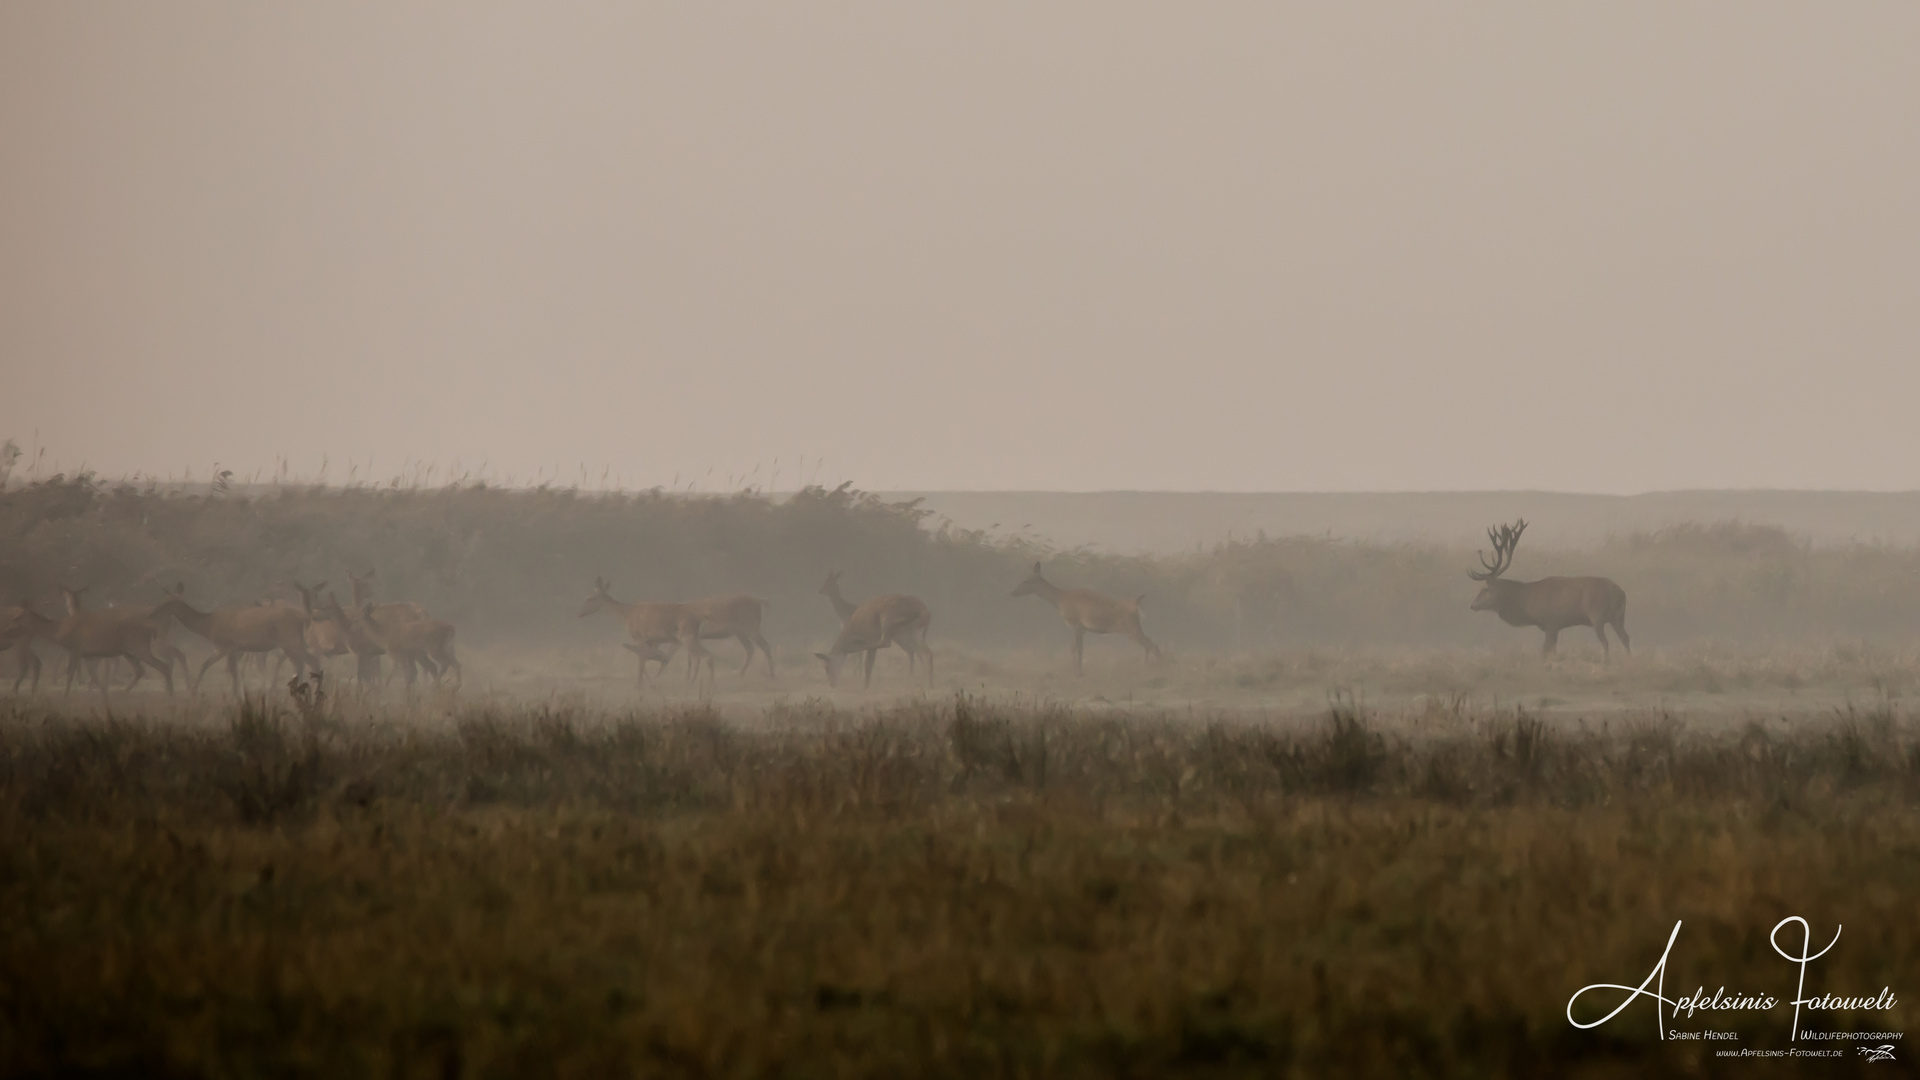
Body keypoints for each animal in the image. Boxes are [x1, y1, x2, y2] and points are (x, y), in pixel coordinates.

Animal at [153, 584, 322, 691]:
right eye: (163, 600)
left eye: (169, 603)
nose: (152, 613)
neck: (207, 627)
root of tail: (302, 617)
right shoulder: (229, 648)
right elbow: (212, 666)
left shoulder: (226, 645)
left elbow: (224, 669)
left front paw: (195, 691)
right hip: (294, 642)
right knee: (311, 662)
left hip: (290, 641)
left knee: (303, 664)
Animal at [579, 576, 718, 684]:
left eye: (589, 598)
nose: (580, 613)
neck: (626, 615)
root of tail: (701, 617)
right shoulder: (651, 641)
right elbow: (646, 660)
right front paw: (650, 683)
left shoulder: (639, 637)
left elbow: (641, 663)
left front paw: (639, 685)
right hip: (693, 638)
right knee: (698, 659)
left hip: (687, 636)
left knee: (707, 657)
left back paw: (709, 686)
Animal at [1013, 564, 1159, 672]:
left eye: (1026, 580)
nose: (1013, 592)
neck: (1060, 600)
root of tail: (1135, 604)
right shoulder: (1083, 628)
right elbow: (1074, 647)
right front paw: (1075, 669)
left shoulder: (1076, 623)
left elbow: (1078, 648)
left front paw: (1079, 672)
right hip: (1134, 629)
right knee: (1151, 643)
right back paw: (1147, 665)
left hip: (1131, 628)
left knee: (1152, 645)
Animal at [1466, 518, 1635, 661]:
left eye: (1485, 588)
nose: (1472, 605)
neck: (1528, 602)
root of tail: (1621, 593)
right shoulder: (1556, 626)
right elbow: (1552, 650)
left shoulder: (1551, 621)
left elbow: (1545, 650)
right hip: (1618, 616)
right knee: (1626, 637)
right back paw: (1628, 661)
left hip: (1597, 614)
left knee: (1606, 642)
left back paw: (1606, 663)